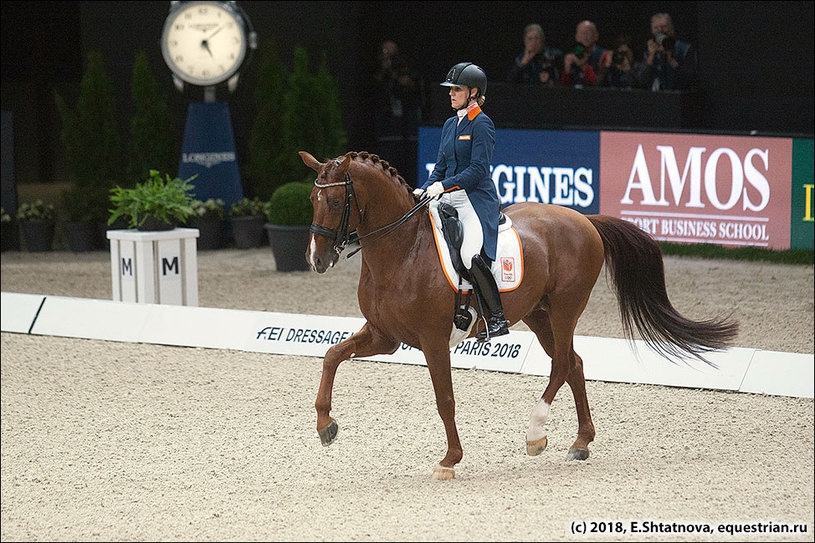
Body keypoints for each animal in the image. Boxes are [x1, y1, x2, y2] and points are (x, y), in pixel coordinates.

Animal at [300, 150, 740, 480]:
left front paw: (450, 460)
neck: (403, 249)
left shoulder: (432, 340)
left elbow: (445, 399)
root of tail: (585, 219)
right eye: (311, 201)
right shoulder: (384, 335)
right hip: (538, 314)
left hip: (565, 308)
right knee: (574, 363)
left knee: (561, 364)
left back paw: (535, 434)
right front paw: (325, 426)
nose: (316, 260)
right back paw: (580, 443)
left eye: (336, 201)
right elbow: (332, 356)